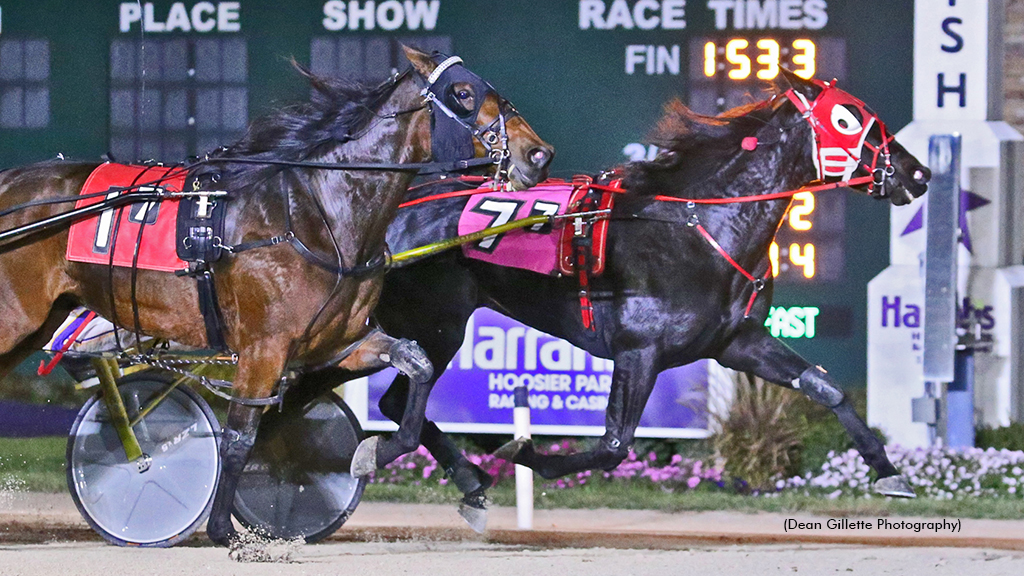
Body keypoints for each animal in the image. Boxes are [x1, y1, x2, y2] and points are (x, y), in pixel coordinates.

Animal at [0, 47, 552, 545]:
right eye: (463, 94)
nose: (538, 154)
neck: (316, 212)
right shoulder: (264, 347)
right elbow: (239, 436)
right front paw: (224, 530)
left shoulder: (341, 340)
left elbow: (416, 364)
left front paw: (370, 455)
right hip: (14, 322)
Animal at [344, 68, 929, 524]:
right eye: (847, 120)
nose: (918, 173)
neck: (698, 226)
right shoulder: (639, 352)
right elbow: (613, 445)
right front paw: (526, 451)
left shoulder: (736, 342)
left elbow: (827, 390)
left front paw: (890, 473)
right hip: (437, 322)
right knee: (403, 400)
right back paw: (395, 458)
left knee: (398, 401)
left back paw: (466, 479)